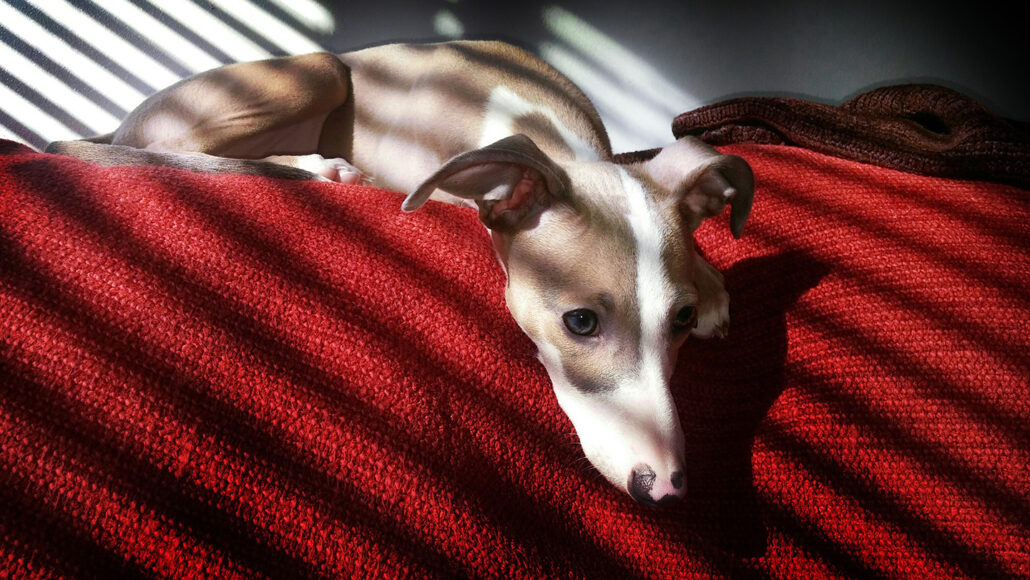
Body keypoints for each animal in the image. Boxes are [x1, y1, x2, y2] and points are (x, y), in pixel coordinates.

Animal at [46, 40, 758, 506]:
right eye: (579, 322)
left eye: (680, 319)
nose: (665, 488)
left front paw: (712, 282)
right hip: (317, 71)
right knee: (173, 149)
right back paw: (319, 167)